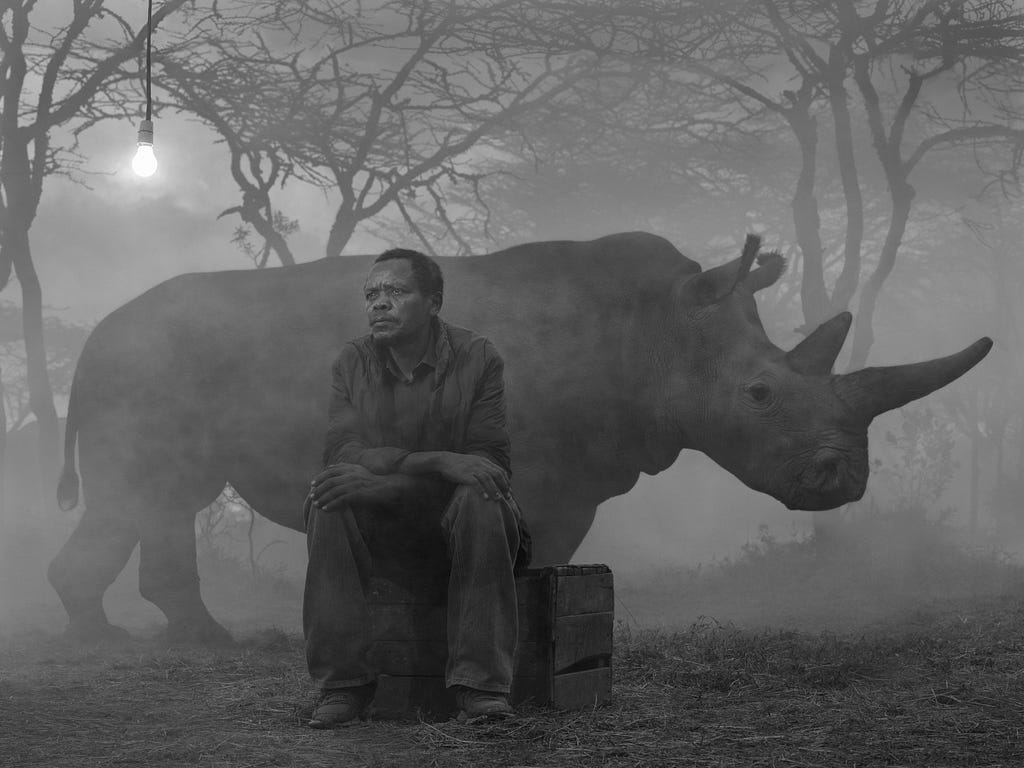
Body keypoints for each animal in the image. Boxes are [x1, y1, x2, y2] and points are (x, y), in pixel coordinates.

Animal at [49, 233, 991, 643]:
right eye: (758, 395)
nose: (844, 483)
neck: (659, 331)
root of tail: (95, 335)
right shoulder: (546, 470)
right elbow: (529, 552)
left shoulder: (579, 469)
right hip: (136, 364)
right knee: (139, 493)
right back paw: (105, 644)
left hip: (151, 365)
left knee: (169, 495)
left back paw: (205, 640)